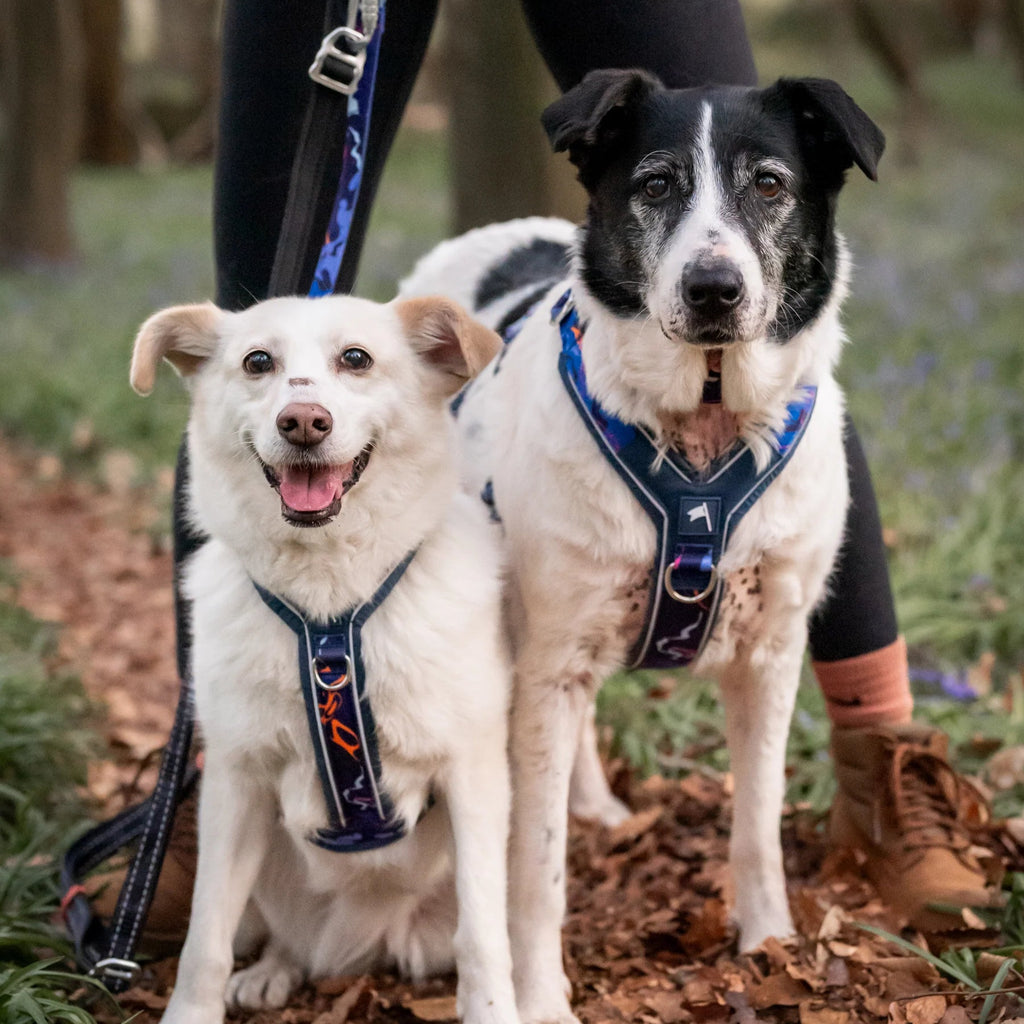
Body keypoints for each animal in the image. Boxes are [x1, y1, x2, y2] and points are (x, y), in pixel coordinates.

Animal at [130, 294, 520, 1024]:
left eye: (356, 359)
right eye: (258, 361)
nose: (303, 420)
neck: (330, 612)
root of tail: (359, 945)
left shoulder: (472, 774)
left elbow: (484, 940)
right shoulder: (237, 783)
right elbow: (205, 938)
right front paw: (192, 1011)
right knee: (281, 940)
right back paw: (273, 971)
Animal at [400, 71, 885, 1024]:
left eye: (770, 183)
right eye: (656, 184)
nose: (713, 288)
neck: (703, 430)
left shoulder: (771, 655)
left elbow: (757, 823)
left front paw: (768, 945)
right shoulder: (550, 657)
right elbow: (536, 867)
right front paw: (541, 995)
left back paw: (597, 804)